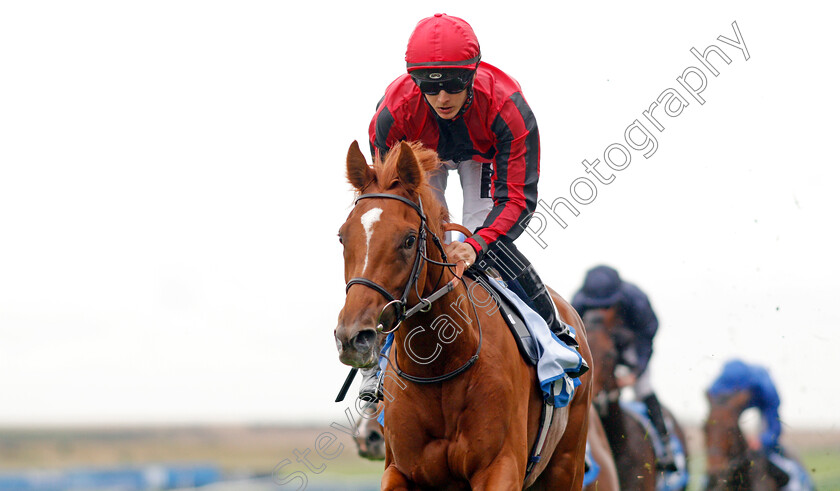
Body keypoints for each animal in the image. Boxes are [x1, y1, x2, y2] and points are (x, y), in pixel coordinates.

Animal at [334, 140, 592, 490]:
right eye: (342, 236)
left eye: (409, 240)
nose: (353, 337)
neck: (441, 364)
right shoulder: (400, 470)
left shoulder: (499, 468)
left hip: (567, 465)